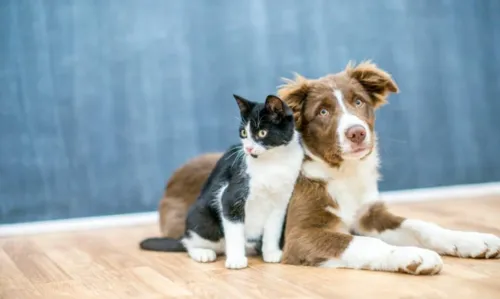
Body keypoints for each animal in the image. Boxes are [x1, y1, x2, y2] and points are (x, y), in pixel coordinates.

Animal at [141, 94, 304, 270]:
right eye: (244, 132)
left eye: (262, 133)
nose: (248, 149)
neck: (273, 162)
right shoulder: (230, 197)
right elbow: (234, 230)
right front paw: (236, 260)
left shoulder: (281, 202)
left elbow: (273, 229)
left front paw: (271, 253)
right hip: (202, 218)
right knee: (189, 242)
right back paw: (202, 252)